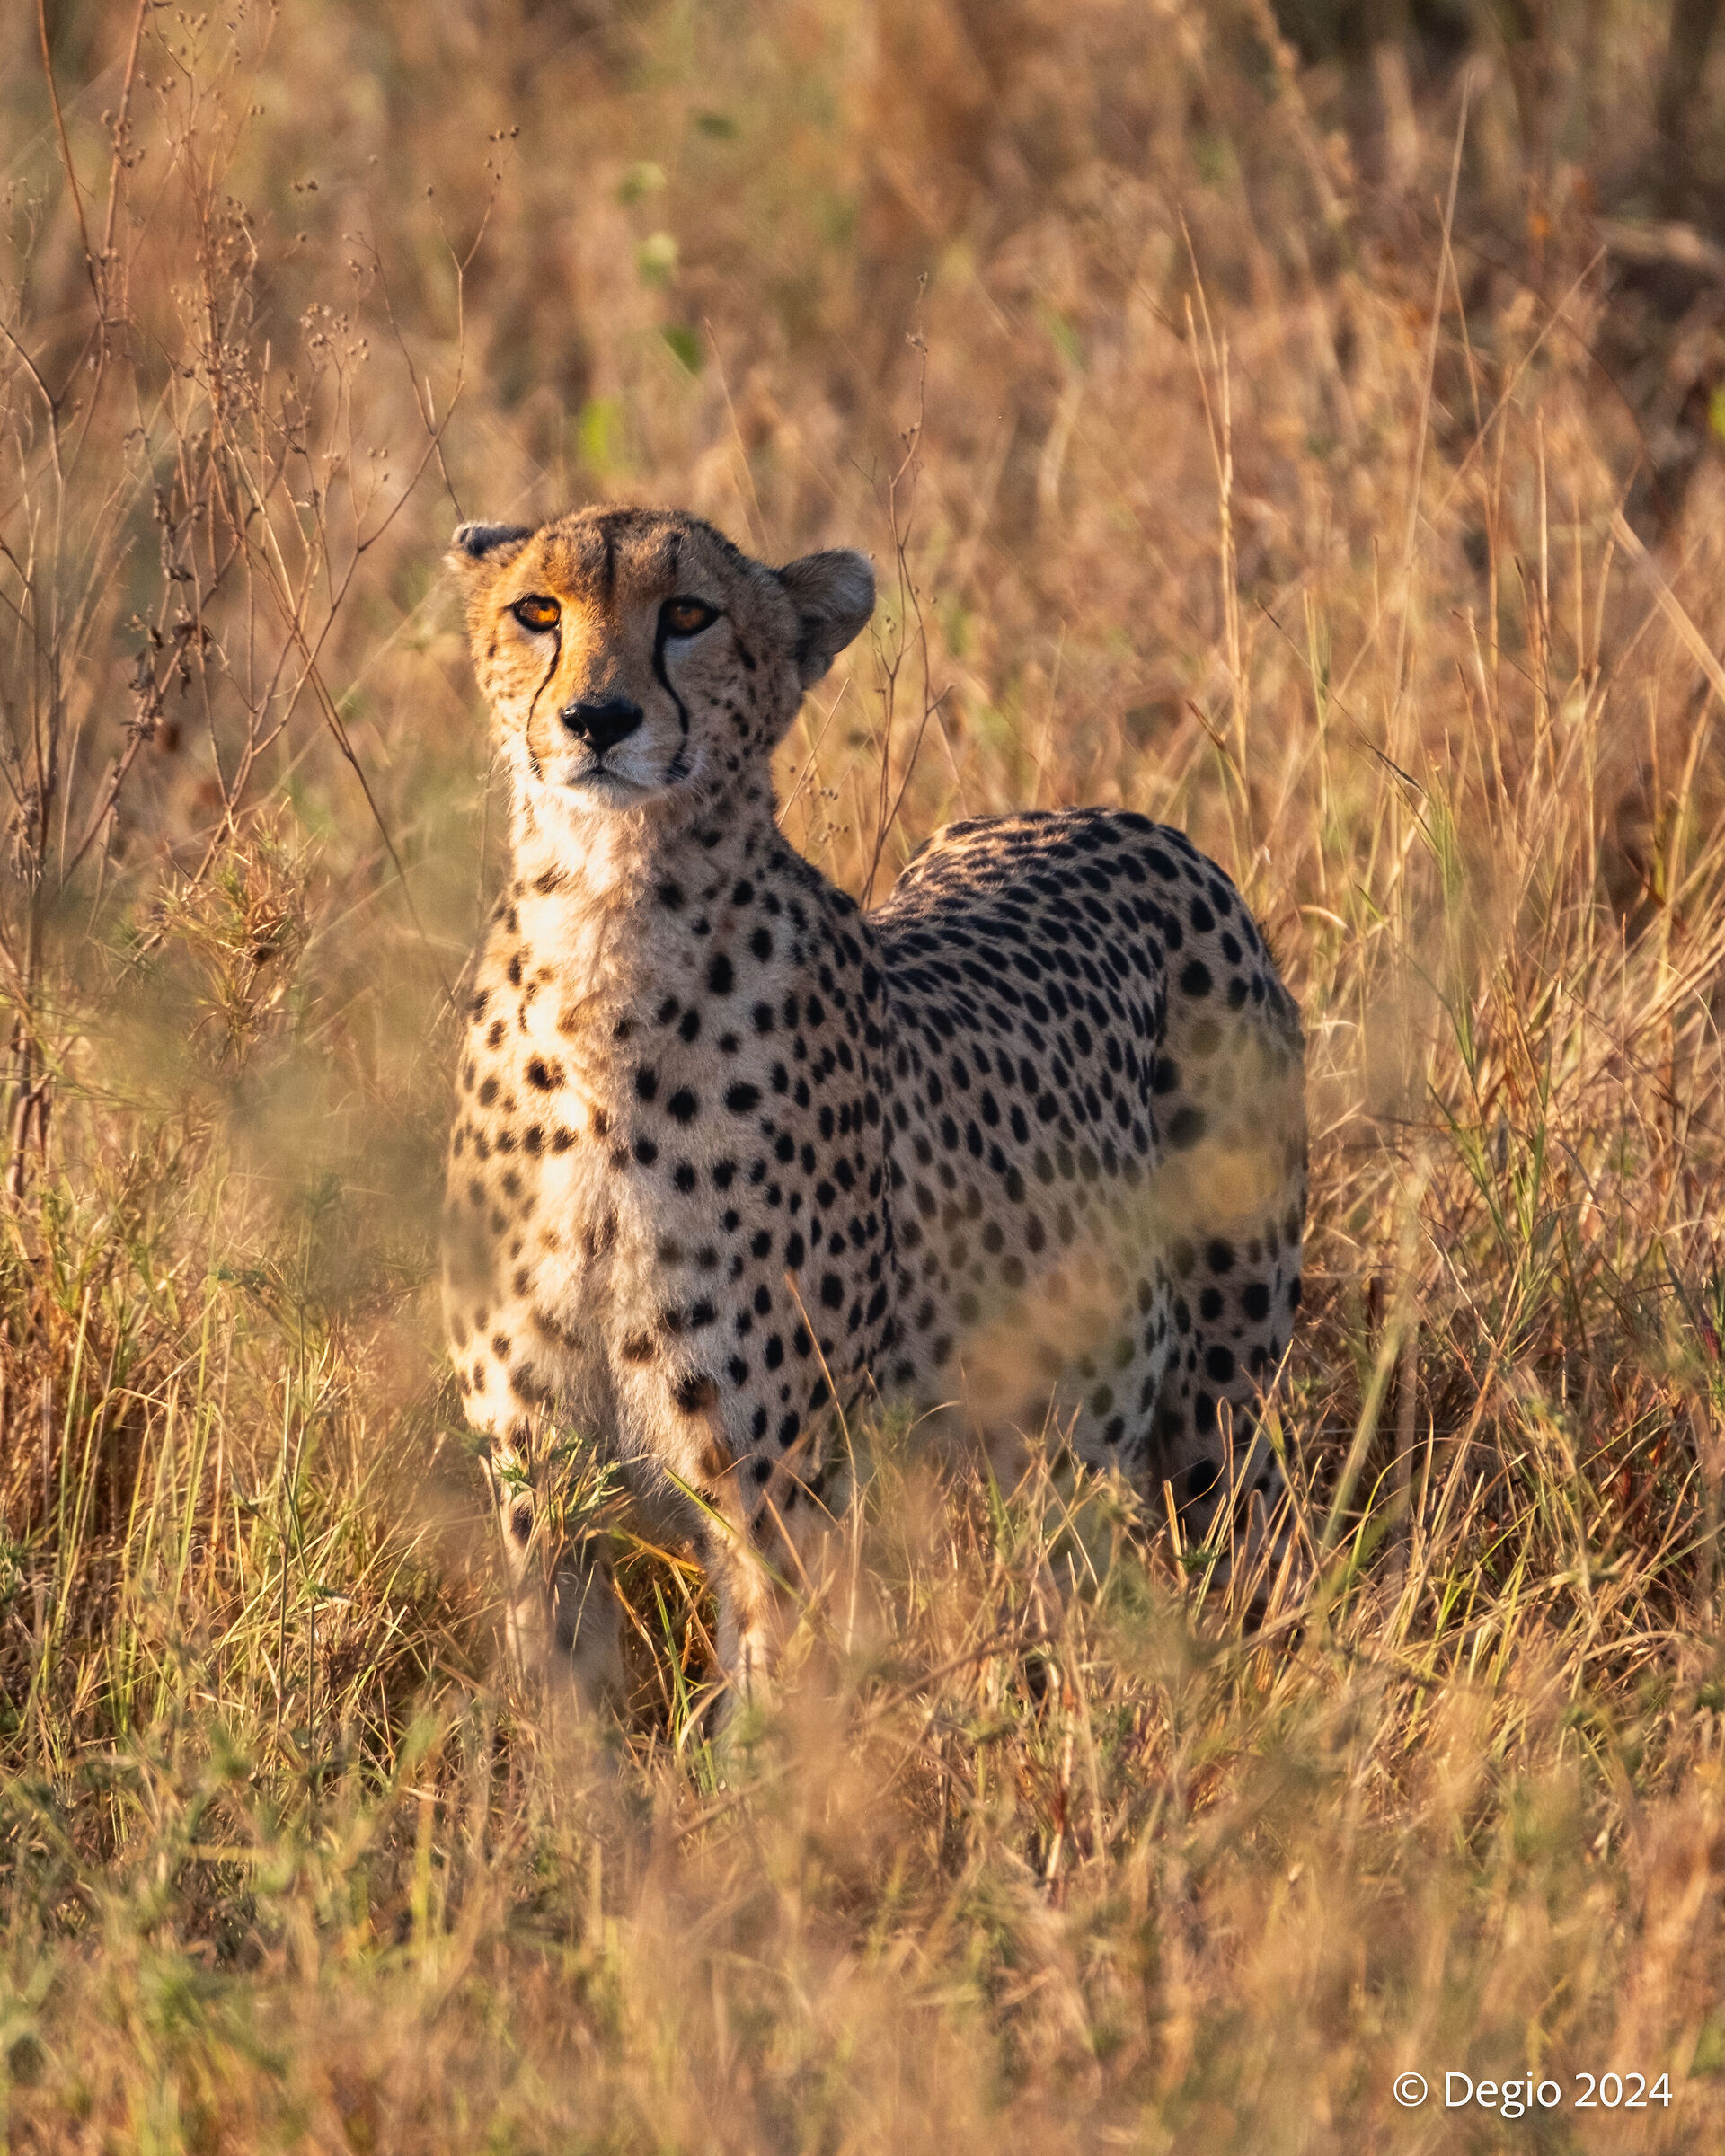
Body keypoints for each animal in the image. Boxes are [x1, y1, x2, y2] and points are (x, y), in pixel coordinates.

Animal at [441, 504, 1307, 1711]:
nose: (597, 718)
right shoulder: (541, 1483)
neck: (604, 936)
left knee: (1248, 1546)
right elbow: (565, 1711)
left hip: (1218, 1396)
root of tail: (1108, 814)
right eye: (537, 609)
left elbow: (770, 1709)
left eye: (690, 614)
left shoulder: (775, 1491)